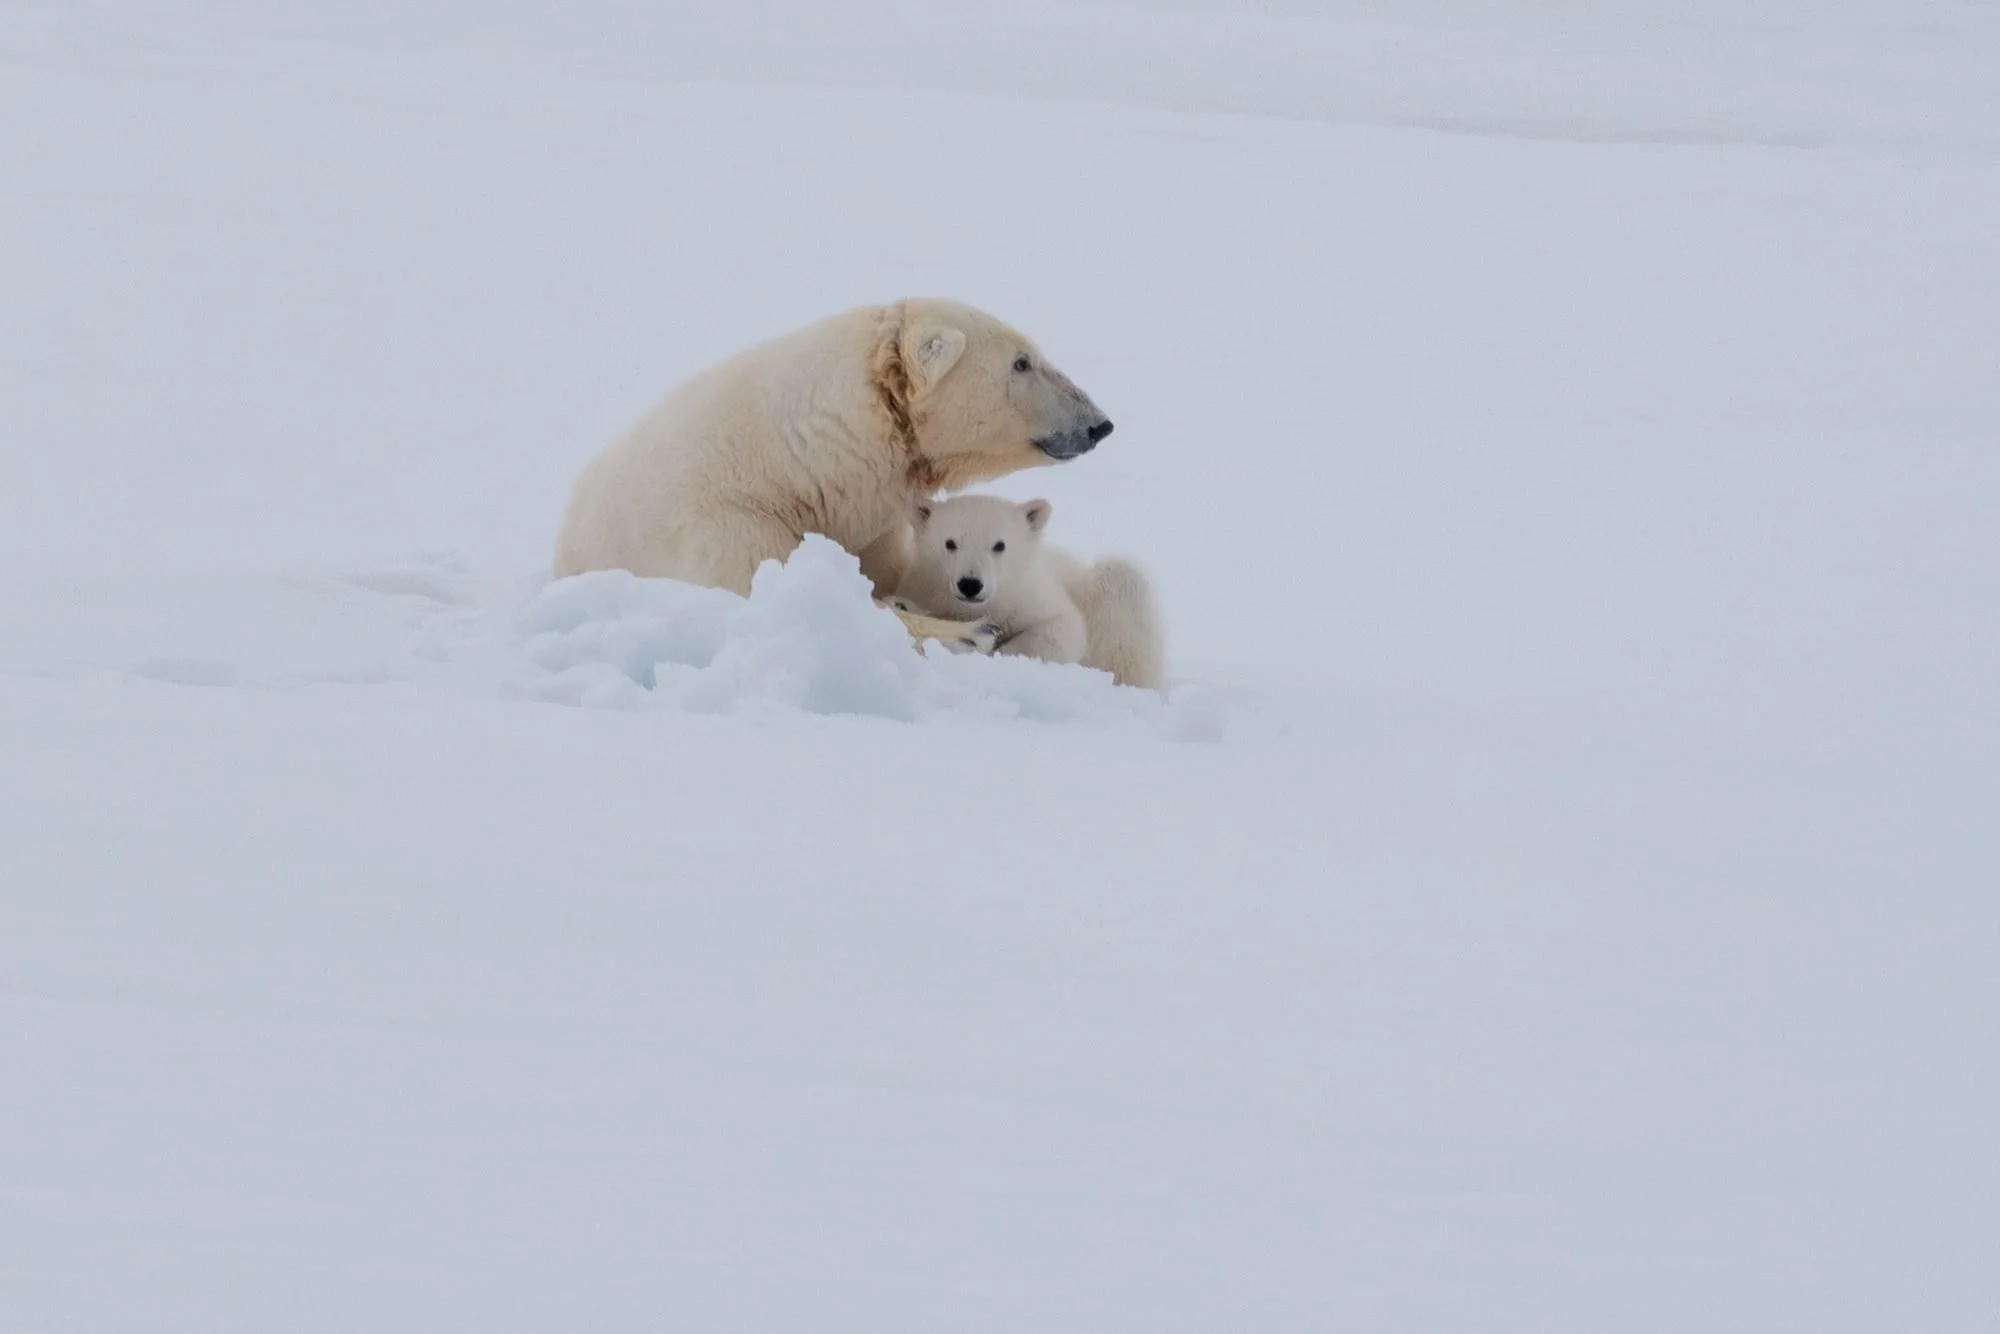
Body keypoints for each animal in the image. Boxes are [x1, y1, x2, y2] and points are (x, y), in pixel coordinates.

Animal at [550, 299, 1114, 648]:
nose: (1099, 423)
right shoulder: (732, 525)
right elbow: (775, 594)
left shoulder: (871, 526)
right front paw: (969, 632)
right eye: (1022, 363)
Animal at [890, 493, 1167, 691]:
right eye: (950, 543)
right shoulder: (923, 589)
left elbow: (1063, 630)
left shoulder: (1030, 595)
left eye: (999, 545)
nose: (970, 584)